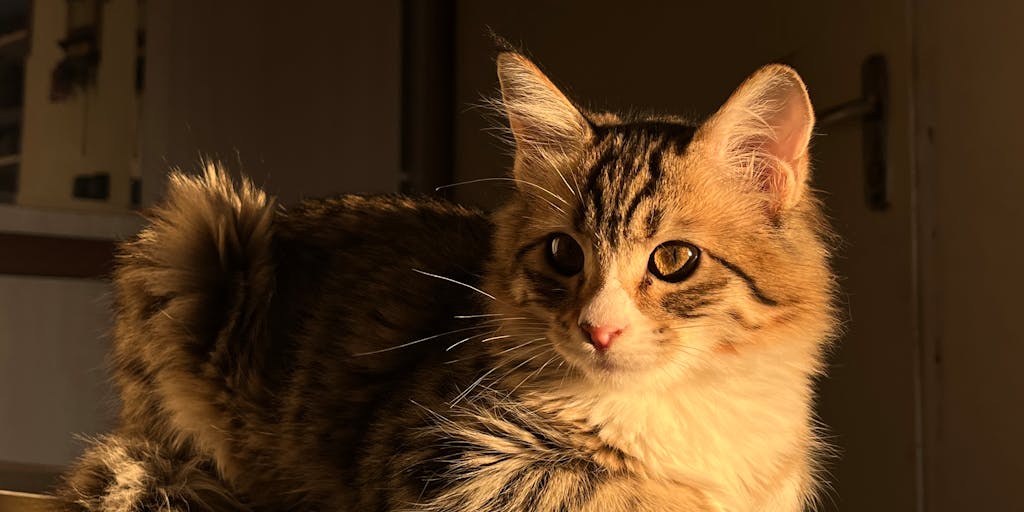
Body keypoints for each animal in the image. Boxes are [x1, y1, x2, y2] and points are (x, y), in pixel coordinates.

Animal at [56, 46, 835, 509]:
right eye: (564, 254)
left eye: (673, 260)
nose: (599, 330)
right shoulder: (439, 462)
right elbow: (615, 493)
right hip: (194, 234)